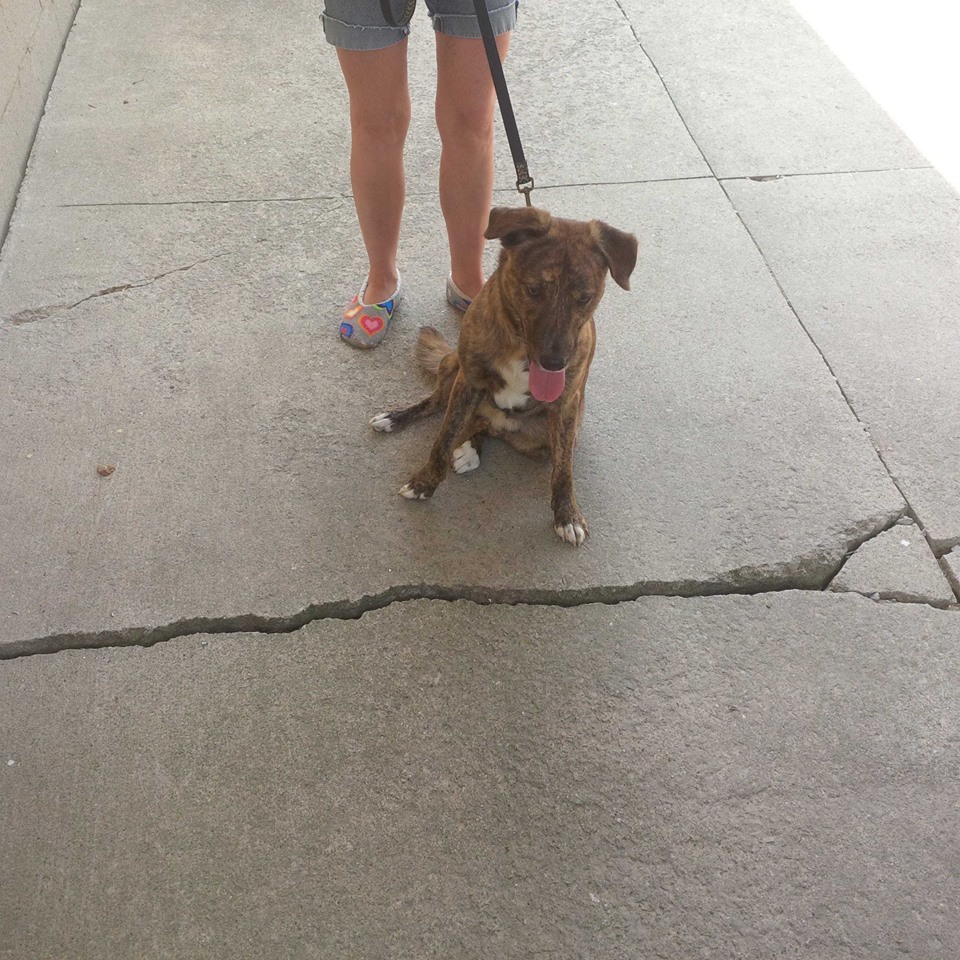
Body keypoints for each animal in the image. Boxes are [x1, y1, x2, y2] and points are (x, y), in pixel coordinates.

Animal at [370, 205, 638, 546]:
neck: (521, 348)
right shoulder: (468, 381)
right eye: (534, 290)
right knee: (436, 404)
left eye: (585, 297)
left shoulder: (566, 406)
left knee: (487, 426)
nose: (554, 362)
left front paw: (567, 515)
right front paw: (425, 482)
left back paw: (473, 448)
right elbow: (442, 438)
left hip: (552, 433)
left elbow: (564, 470)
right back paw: (396, 418)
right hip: (452, 365)